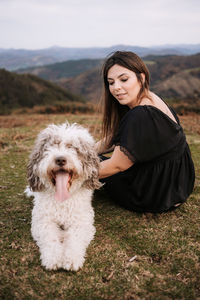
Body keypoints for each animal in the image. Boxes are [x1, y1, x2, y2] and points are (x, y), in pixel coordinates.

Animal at [27, 122, 101, 272]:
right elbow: (50, 237)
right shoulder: (43, 221)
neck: (62, 199)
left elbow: (75, 239)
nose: (60, 159)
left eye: (73, 147)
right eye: (51, 146)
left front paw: (71, 259)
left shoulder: (81, 221)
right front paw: (53, 258)